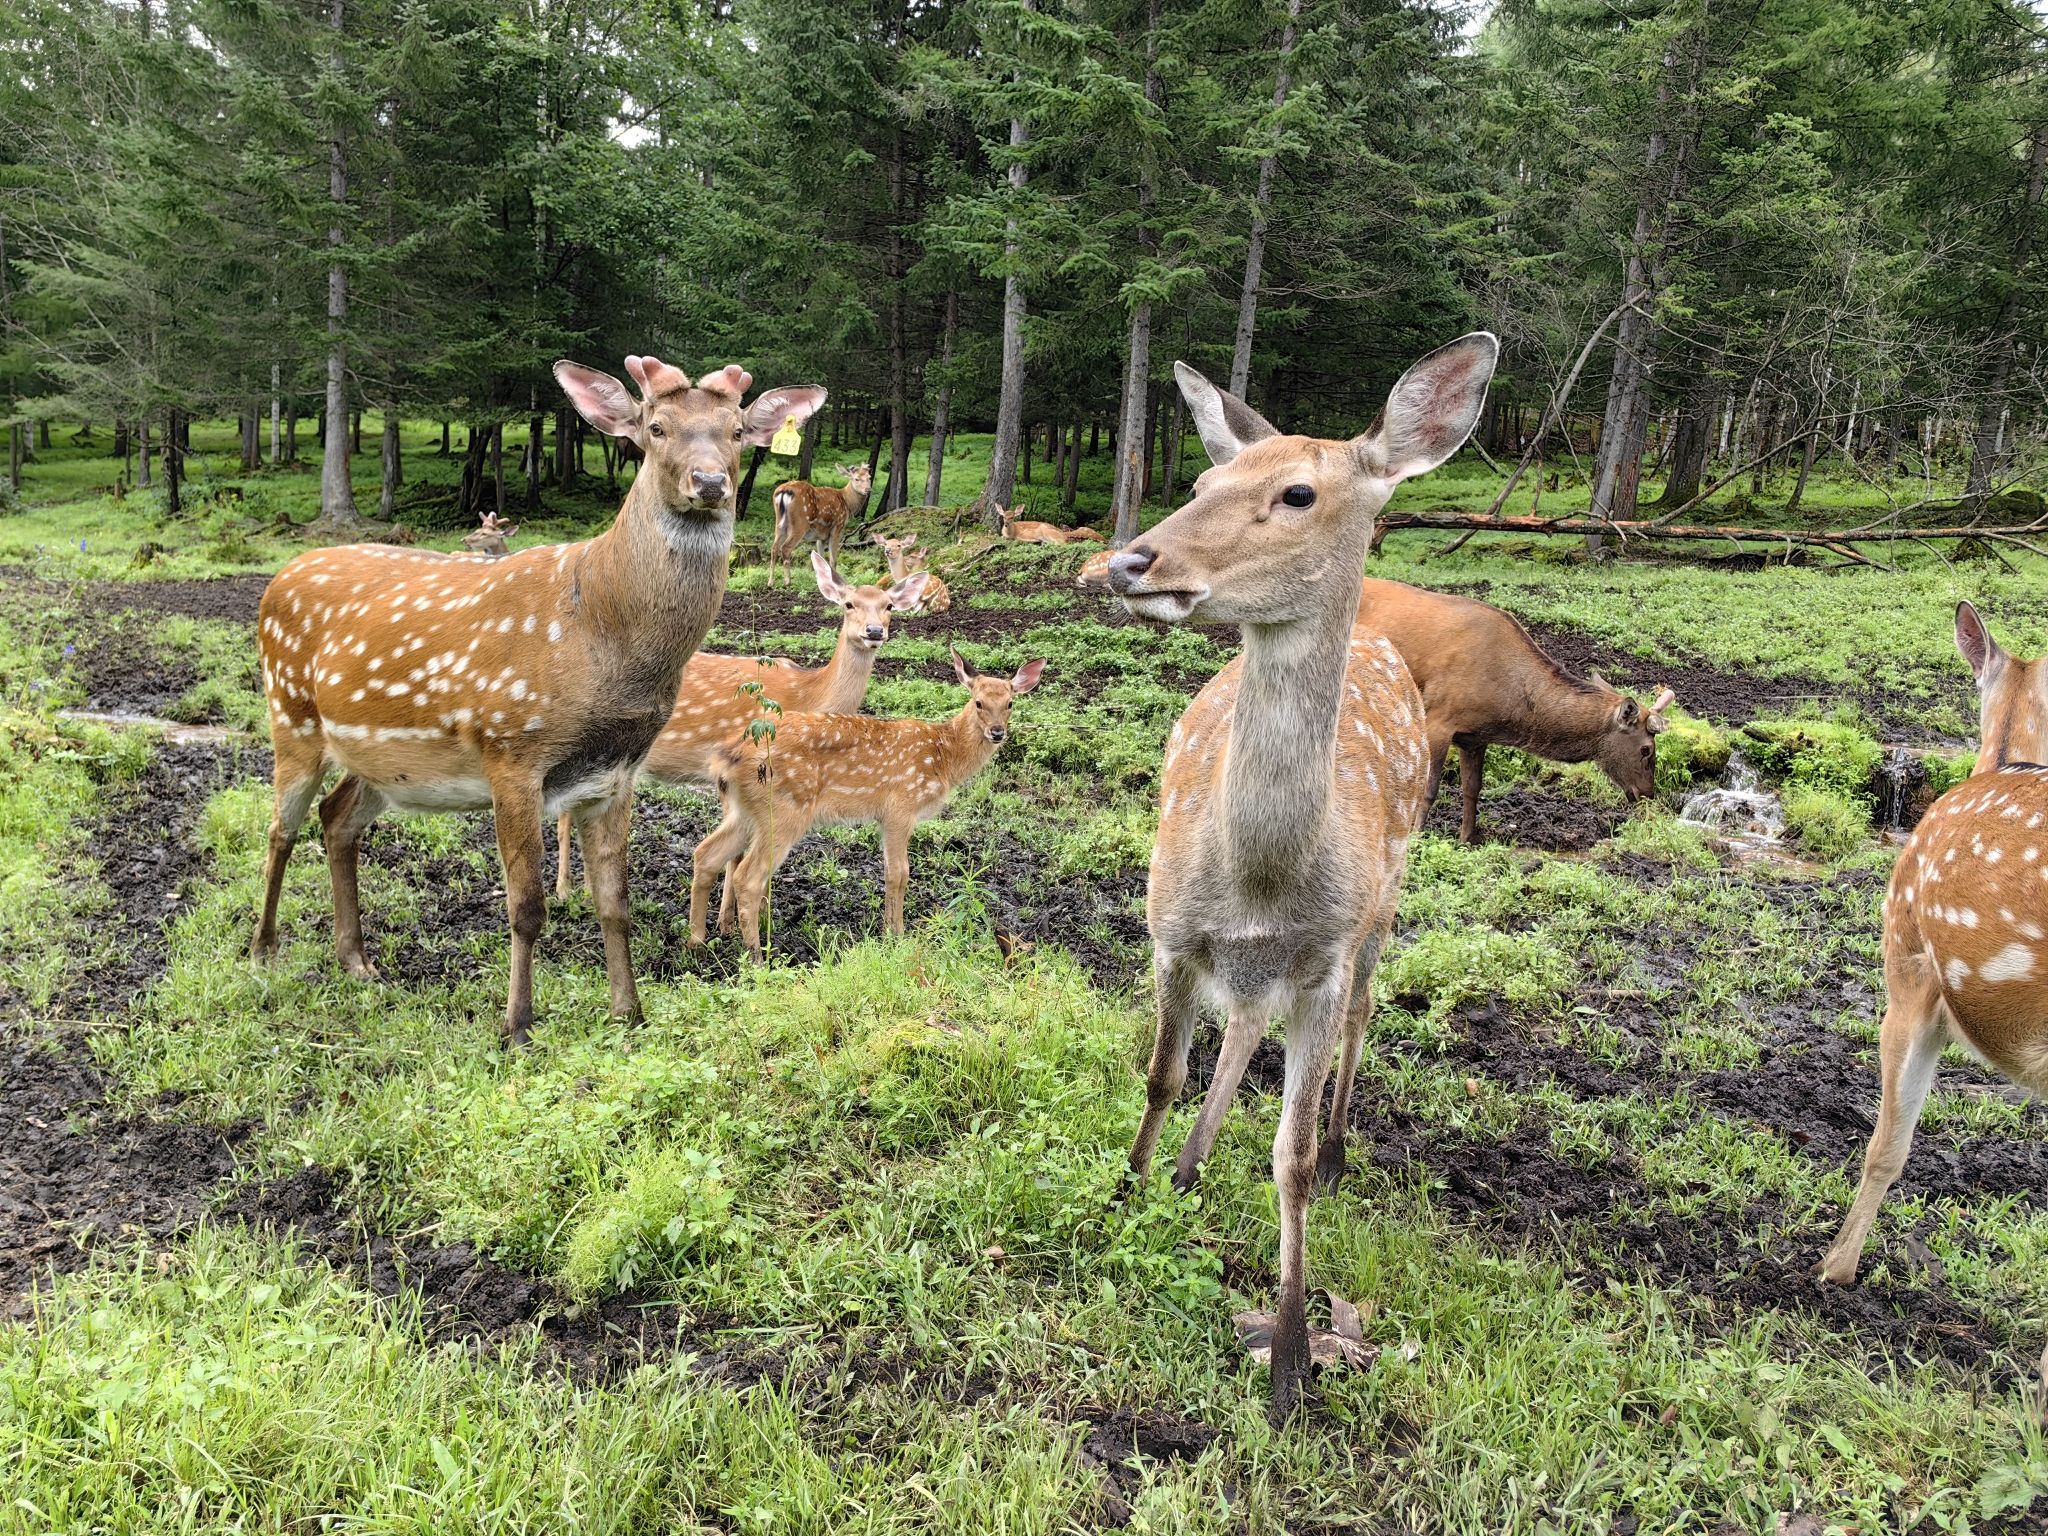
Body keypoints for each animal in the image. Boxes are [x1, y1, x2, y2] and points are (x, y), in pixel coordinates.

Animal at [250, 356, 825, 1047]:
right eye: (655, 427)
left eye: (737, 432)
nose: (710, 481)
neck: (605, 634)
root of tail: (276, 581)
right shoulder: (511, 750)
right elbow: (526, 906)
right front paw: (518, 1025)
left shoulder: (617, 771)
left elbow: (615, 902)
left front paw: (629, 1013)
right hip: (290, 714)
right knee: (280, 829)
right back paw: (263, 952)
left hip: (382, 763)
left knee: (336, 819)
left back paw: (357, 960)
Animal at [686, 649, 1046, 959]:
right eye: (979, 702)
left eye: (1010, 703)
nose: (997, 732)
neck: (943, 758)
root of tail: (727, 758)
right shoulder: (902, 805)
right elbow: (900, 872)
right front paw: (897, 935)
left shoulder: (885, 816)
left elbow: (890, 872)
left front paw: (889, 931)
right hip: (785, 809)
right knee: (747, 876)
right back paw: (757, 956)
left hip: (746, 811)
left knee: (706, 853)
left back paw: (696, 943)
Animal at [1108, 334, 1499, 1421]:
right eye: (1202, 481)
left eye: (1296, 493)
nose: (1130, 560)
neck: (1261, 877)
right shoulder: (1168, 932)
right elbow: (1162, 1073)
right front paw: (1135, 1187)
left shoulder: (1322, 957)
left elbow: (1280, 1157)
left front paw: (1288, 1366)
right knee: (1243, 1023)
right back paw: (1191, 1166)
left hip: (1386, 903)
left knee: (1362, 1013)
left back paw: (1335, 1149)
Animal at [1354, 578, 1676, 842]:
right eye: (1646, 749)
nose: (1647, 793)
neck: (1506, 710)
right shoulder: (1438, 719)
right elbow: (1429, 788)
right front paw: (1417, 835)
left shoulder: (1474, 737)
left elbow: (1473, 788)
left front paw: (1467, 839)